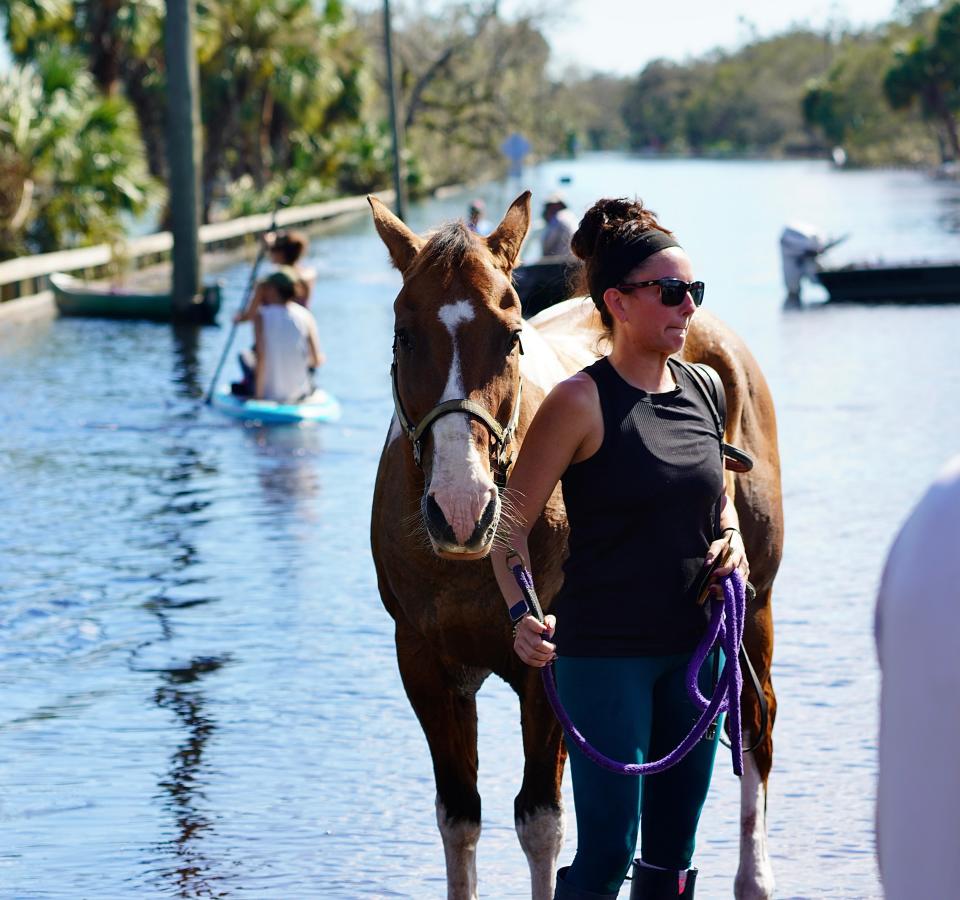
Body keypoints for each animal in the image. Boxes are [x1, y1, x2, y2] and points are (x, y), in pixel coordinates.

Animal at [368, 192, 780, 900]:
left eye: (510, 335)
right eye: (403, 334)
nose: (460, 507)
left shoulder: (550, 673)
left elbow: (540, 822)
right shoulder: (423, 662)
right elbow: (459, 817)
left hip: (752, 605)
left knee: (753, 724)